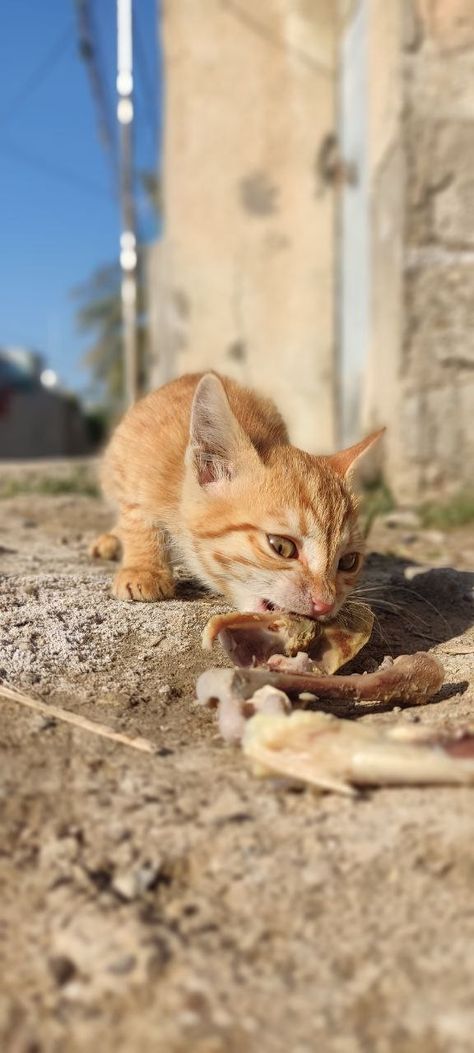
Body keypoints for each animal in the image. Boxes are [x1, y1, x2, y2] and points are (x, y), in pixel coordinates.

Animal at [93, 372, 385, 619]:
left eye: (348, 562)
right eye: (281, 547)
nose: (325, 604)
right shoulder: (132, 468)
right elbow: (137, 518)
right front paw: (143, 569)